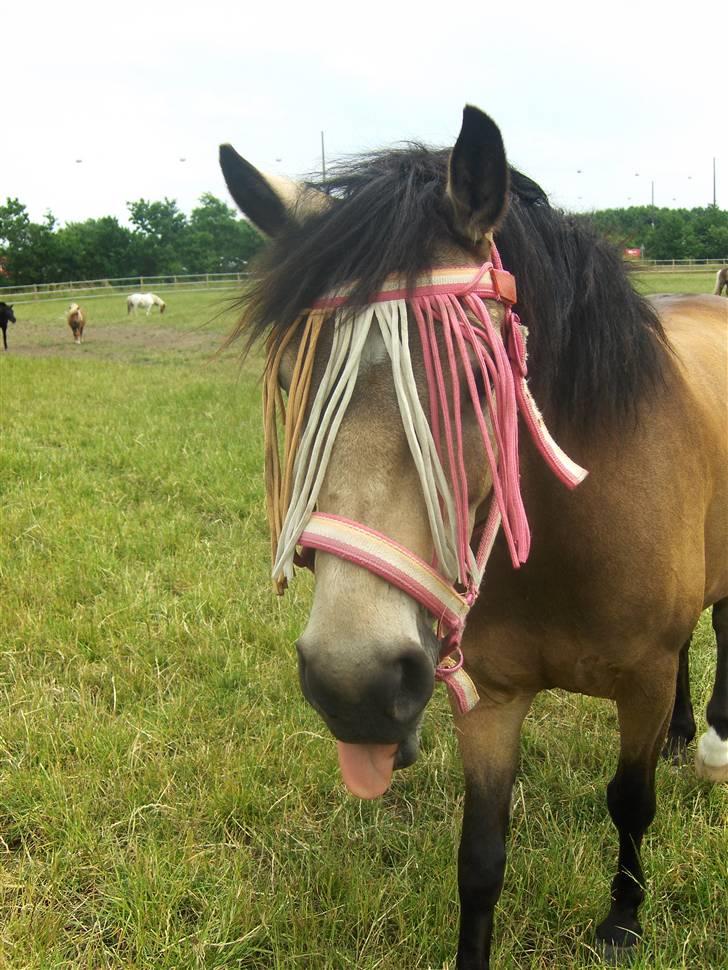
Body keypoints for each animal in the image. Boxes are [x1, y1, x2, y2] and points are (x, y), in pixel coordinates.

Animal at [218, 108, 728, 968]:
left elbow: (630, 801)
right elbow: (481, 858)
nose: (352, 686)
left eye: (479, 379)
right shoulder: (490, 699)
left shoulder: (644, 679)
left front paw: (623, 919)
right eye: (295, 380)